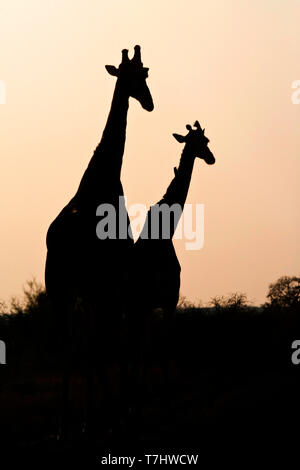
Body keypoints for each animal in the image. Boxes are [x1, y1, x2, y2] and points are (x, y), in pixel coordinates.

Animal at [45, 46, 154, 438]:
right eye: (131, 75)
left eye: (144, 72)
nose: (149, 103)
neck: (104, 176)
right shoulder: (116, 275)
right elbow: (115, 340)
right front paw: (118, 412)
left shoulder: (100, 283)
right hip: (83, 285)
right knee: (89, 341)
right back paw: (90, 416)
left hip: (63, 287)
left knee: (70, 341)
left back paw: (67, 422)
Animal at [127, 120, 214, 408]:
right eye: (201, 142)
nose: (211, 158)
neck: (165, 233)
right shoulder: (161, 300)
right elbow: (157, 346)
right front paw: (159, 390)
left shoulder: (163, 302)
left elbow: (156, 345)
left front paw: (151, 389)